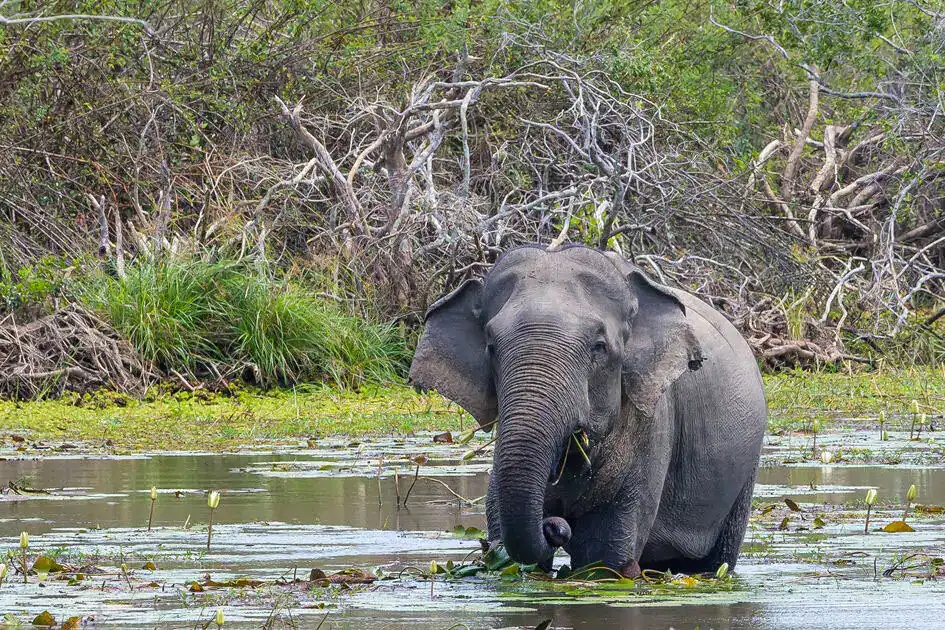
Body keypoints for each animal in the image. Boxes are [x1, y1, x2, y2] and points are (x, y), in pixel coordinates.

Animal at [409, 244, 767, 576]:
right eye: (490, 346)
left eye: (599, 347)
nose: (554, 525)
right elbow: (505, 543)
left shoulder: (653, 422)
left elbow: (603, 559)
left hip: (745, 470)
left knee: (714, 560)